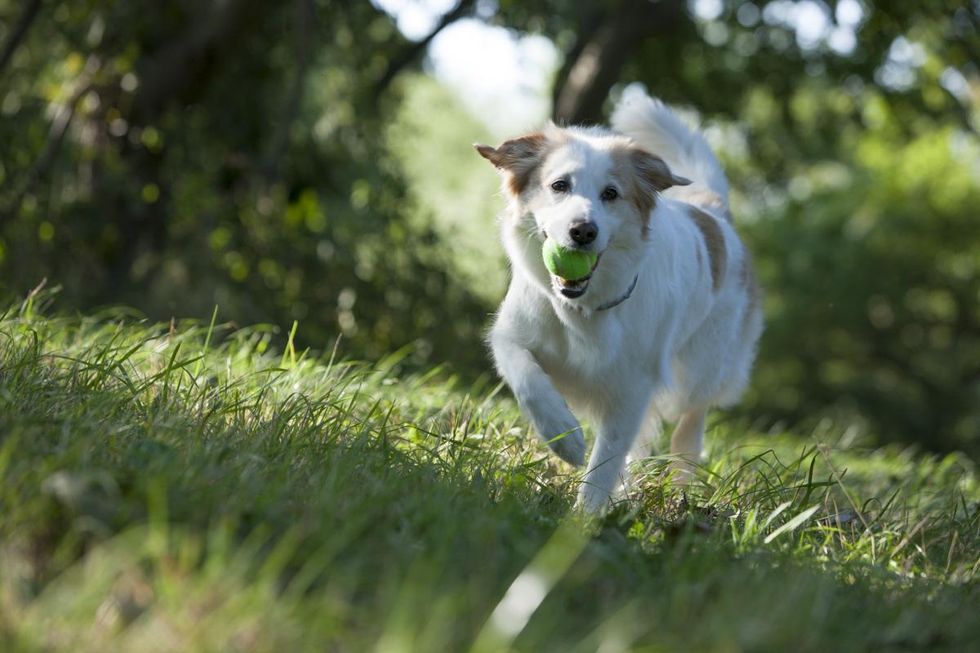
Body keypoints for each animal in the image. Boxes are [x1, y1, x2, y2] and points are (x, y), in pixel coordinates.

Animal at [474, 86, 764, 512]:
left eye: (611, 193)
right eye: (559, 185)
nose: (583, 231)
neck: (582, 309)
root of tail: (713, 212)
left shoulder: (633, 387)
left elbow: (605, 462)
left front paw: (585, 516)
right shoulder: (511, 335)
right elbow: (527, 378)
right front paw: (564, 437)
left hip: (700, 372)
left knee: (689, 427)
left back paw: (679, 489)